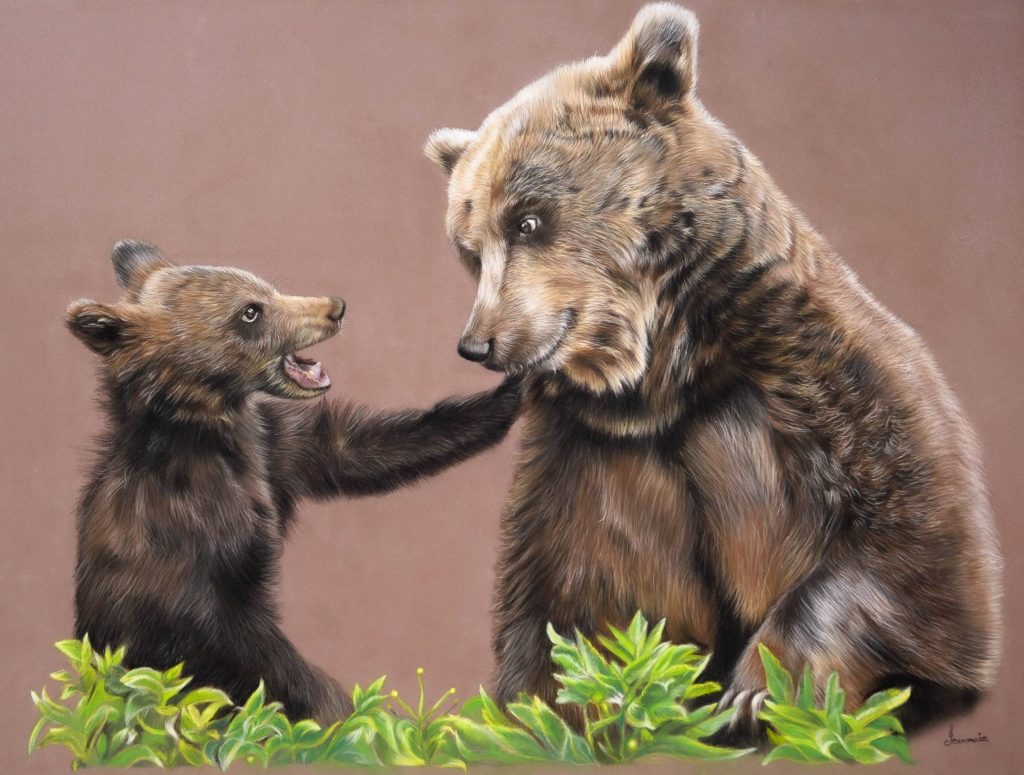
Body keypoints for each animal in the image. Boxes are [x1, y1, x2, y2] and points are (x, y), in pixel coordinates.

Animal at [66, 240, 522, 724]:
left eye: (267, 287)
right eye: (250, 311)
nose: (334, 307)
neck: (212, 428)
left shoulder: (273, 447)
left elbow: (354, 447)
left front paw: (509, 391)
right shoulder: (184, 539)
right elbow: (233, 641)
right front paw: (333, 705)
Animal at [423, 3, 1001, 737]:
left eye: (527, 220)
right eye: (469, 248)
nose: (479, 343)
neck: (664, 373)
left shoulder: (823, 385)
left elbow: (910, 556)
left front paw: (758, 688)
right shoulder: (599, 458)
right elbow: (573, 604)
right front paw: (553, 704)